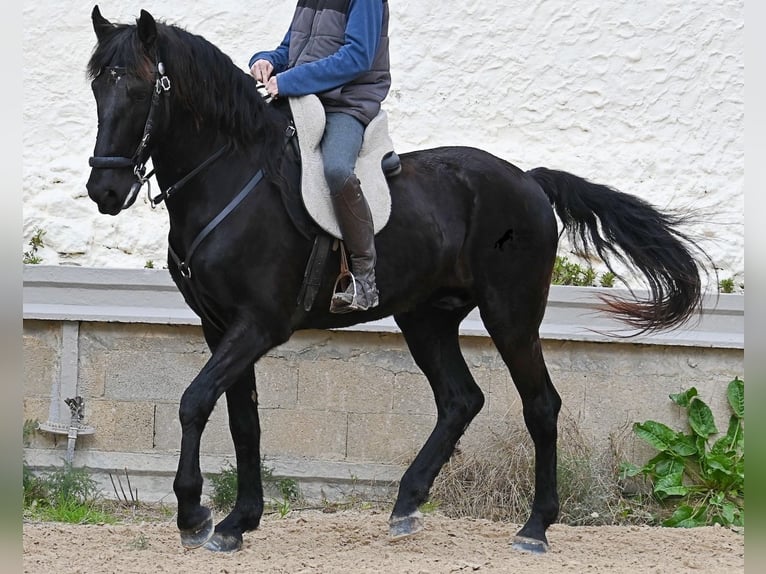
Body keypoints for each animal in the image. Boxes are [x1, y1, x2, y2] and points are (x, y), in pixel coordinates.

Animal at [85, 6, 709, 554]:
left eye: (140, 89)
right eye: (96, 89)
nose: (104, 192)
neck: (231, 176)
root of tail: (528, 181)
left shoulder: (258, 326)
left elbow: (194, 402)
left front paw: (194, 515)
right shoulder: (222, 328)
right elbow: (243, 421)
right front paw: (238, 522)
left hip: (511, 315)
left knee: (540, 405)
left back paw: (535, 528)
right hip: (425, 317)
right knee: (460, 400)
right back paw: (407, 503)